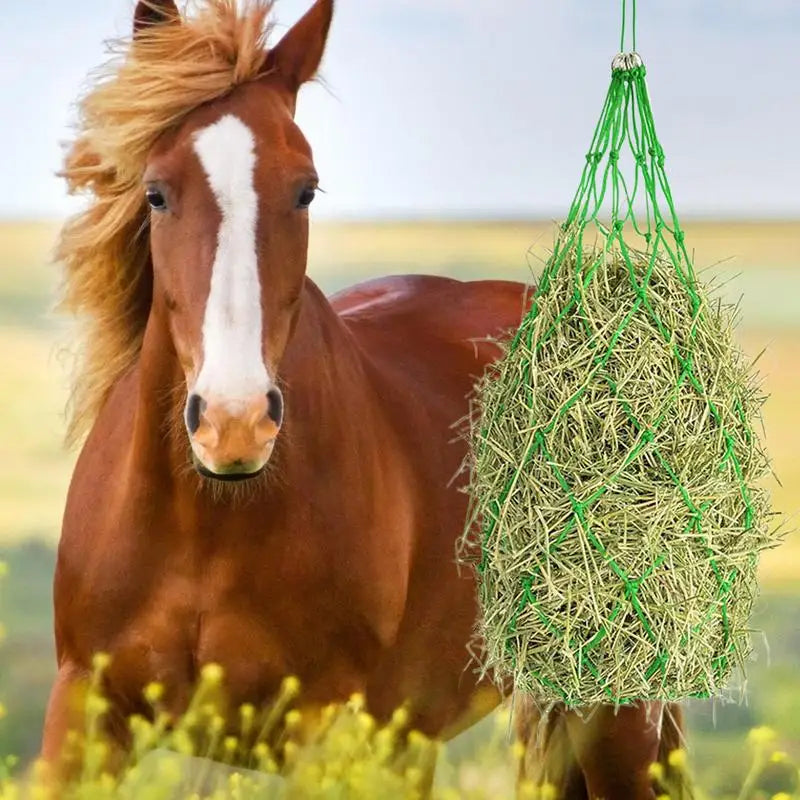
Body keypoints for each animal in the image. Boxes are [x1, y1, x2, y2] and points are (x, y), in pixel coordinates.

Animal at [42, 1, 689, 796]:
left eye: (305, 189)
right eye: (157, 193)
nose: (233, 425)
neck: (208, 524)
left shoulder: (329, 733)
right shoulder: (84, 710)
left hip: (610, 716)